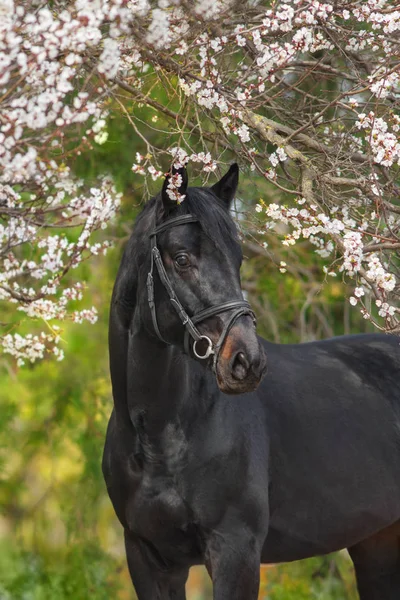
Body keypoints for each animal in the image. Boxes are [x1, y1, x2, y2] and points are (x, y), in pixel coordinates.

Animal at [103, 165, 400, 600]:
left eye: (238, 258)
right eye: (182, 259)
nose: (247, 361)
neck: (160, 435)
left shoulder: (236, 551)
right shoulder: (149, 558)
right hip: (377, 544)